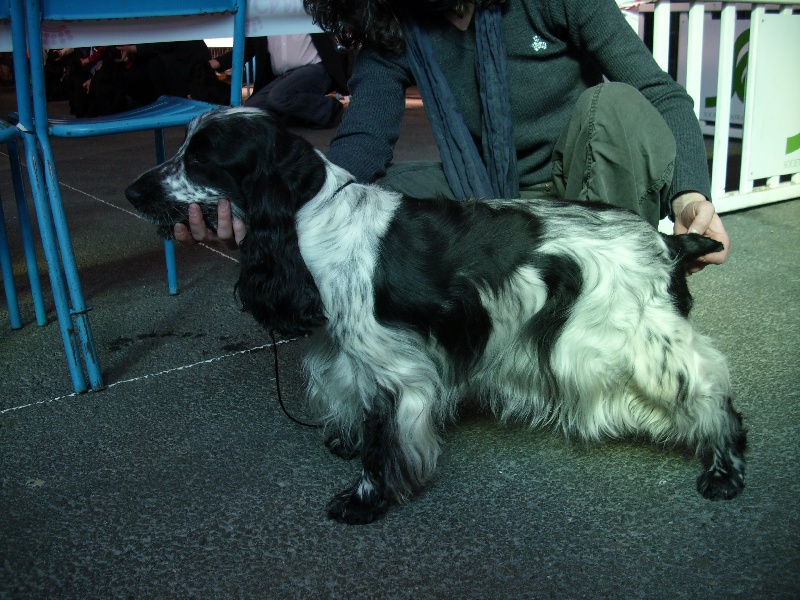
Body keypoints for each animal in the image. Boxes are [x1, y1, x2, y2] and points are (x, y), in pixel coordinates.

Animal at [126, 107, 747, 524]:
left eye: (200, 159)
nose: (132, 191)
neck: (314, 215)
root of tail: (668, 242)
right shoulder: (351, 352)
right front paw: (346, 444)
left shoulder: (397, 370)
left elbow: (384, 444)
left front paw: (362, 500)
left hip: (642, 339)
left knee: (711, 391)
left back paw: (723, 472)